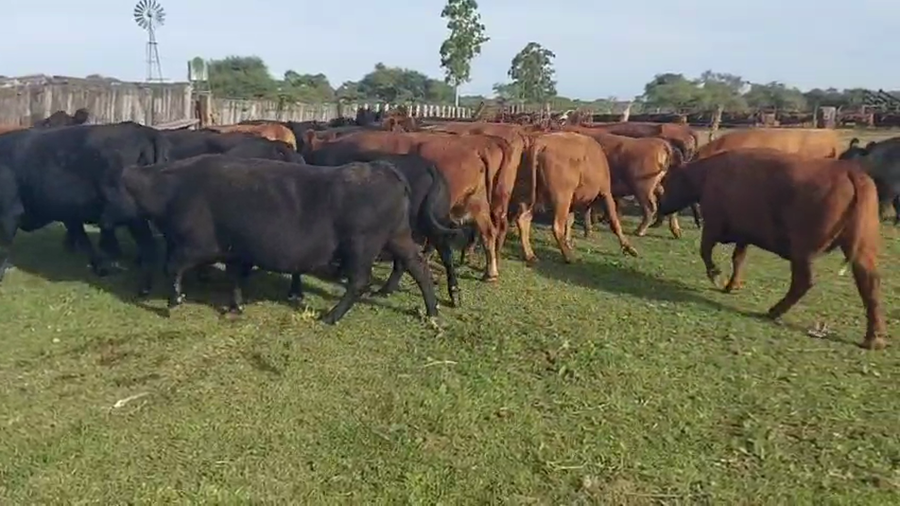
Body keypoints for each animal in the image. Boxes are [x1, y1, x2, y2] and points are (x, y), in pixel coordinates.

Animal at [0, 122, 168, 293]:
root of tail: (144, 130)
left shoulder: (8, 214)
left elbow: (3, 247)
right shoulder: (70, 215)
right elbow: (84, 241)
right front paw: (100, 269)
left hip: (134, 217)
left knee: (148, 247)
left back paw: (144, 288)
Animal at [100, 155, 439, 324]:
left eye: (112, 192)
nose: (101, 217)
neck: (173, 190)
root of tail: (382, 168)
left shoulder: (195, 245)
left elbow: (172, 267)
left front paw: (174, 301)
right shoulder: (233, 249)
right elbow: (234, 277)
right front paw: (235, 306)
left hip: (362, 244)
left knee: (359, 281)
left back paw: (331, 317)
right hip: (398, 236)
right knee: (419, 267)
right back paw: (433, 312)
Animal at [512, 131, 638, 263]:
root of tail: (541, 144)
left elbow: (570, 220)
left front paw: (569, 242)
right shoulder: (605, 192)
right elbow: (614, 221)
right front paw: (629, 248)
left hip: (535, 197)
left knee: (523, 219)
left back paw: (530, 255)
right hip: (562, 198)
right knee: (557, 226)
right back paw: (569, 257)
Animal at [657, 148, 886, 350]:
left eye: (665, 182)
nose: (658, 205)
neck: (707, 173)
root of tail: (848, 170)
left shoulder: (712, 226)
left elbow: (705, 250)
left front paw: (716, 276)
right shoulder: (743, 235)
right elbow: (738, 258)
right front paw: (733, 285)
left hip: (801, 251)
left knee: (803, 282)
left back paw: (774, 311)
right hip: (861, 251)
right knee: (869, 284)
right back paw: (873, 339)